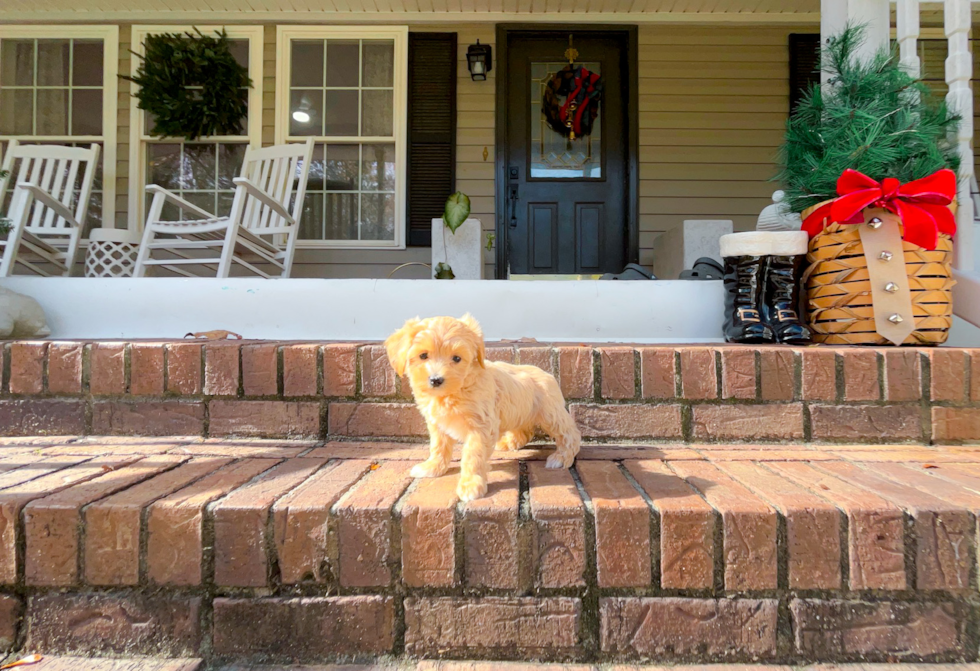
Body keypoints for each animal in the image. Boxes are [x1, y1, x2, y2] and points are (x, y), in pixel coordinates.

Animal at [384, 314, 580, 498]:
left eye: (457, 358)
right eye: (423, 355)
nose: (436, 380)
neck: (455, 391)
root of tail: (547, 374)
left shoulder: (480, 426)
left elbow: (473, 455)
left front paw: (471, 484)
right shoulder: (438, 424)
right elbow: (438, 446)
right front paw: (432, 466)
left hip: (551, 414)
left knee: (570, 434)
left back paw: (561, 458)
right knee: (525, 430)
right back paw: (508, 442)